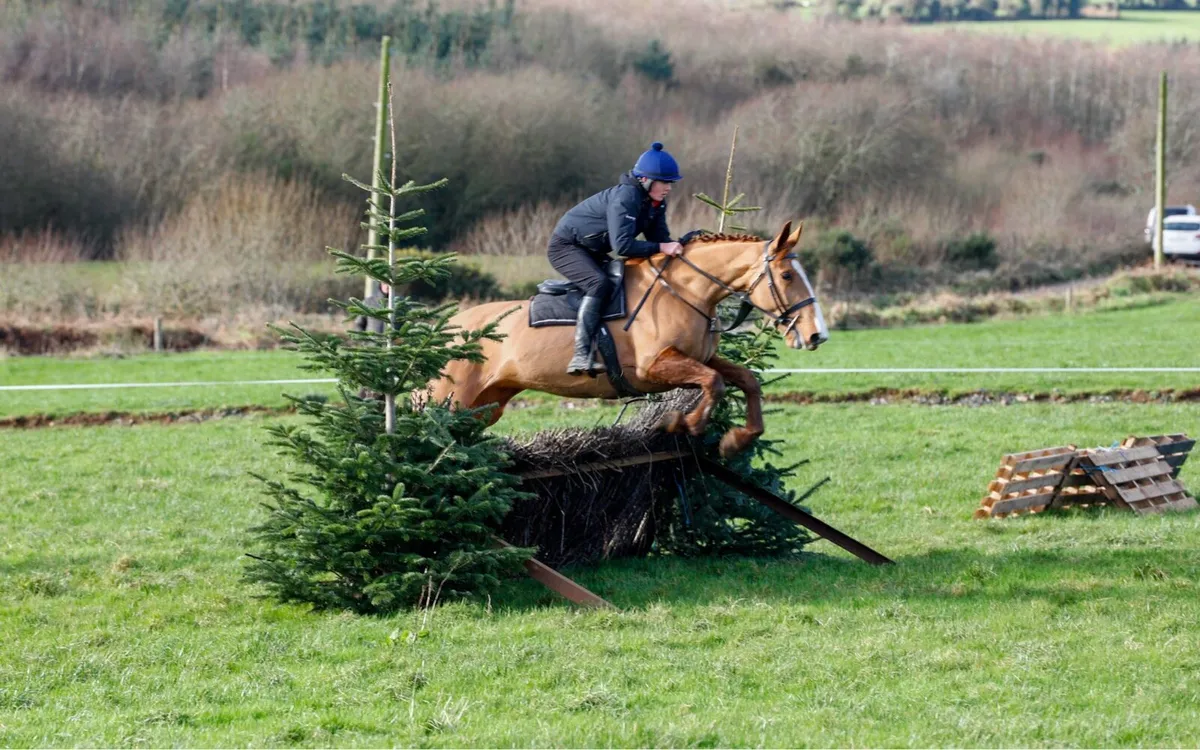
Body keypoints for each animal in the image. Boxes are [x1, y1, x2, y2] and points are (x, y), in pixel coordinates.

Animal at [427, 221, 828, 457]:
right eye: (788, 275)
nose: (817, 335)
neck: (685, 291)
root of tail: (441, 330)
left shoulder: (699, 358)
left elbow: (745, 380)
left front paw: (737, 440)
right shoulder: (653, 367)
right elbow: (713, 383)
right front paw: (680, 423)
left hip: (485, 405)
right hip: (448, 400)